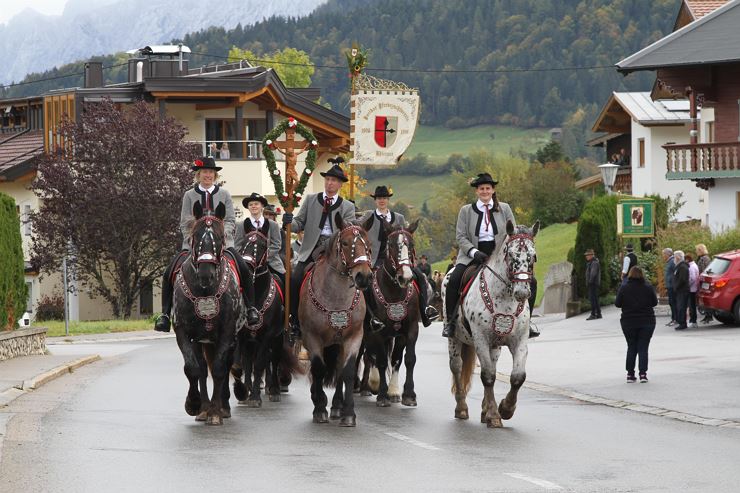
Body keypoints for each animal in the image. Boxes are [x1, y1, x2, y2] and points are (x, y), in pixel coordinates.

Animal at [171, 202, 246, 424]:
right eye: (195, 236)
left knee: (226, 366)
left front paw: (215, 412)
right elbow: (193, 368)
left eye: (220, 237)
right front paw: (194, 404)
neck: (205, 291)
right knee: (204, 369)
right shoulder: (184, 332)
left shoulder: (228, 332)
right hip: (203, 340)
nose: (206, 273)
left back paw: (223, 406)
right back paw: (204, 408)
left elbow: (220, 369)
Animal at [230, 225, 302, 406]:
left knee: (272, 359)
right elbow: (243, 365)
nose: (246, 266)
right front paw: (244, 392)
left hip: (277, 338)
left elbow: (260, 363)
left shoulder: (268, 335)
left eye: (263, 245)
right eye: (244, 242)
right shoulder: (242, 336)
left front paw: (255, 396)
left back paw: (274, 388)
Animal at [298, 213, 372, 424]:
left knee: (339, 370)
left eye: (368, 244)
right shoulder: (312, 337)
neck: (336, 298)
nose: (364, 276)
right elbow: (318, 369)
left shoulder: (354, 337)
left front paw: (348, 413)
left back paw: (337, 405)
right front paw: (319, 407)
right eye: (345, 243)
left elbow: (347, 371)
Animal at [360, 221, 422, 406]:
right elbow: (380, 361)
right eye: (392, 245)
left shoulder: (409, 330)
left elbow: (405, 359)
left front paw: (404, 393)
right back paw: (365, 386)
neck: (394, 292)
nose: (406, 277)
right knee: (366, 356)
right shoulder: (378, 332)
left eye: (412, 245)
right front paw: (382, 393)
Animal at [442, 220, 540, 426]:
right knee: (457, 366)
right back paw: (462, 408)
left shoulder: (519, 340)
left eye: (533, 256)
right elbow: (487, 376)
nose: (522, 292)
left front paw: (506, 409)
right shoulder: (481, 339)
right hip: (455, 338)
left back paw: (484, 409)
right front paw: (495, 414)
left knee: (492, 366)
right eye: (510, 254)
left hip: (495, 345)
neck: (504, 298)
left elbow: (518, 377)